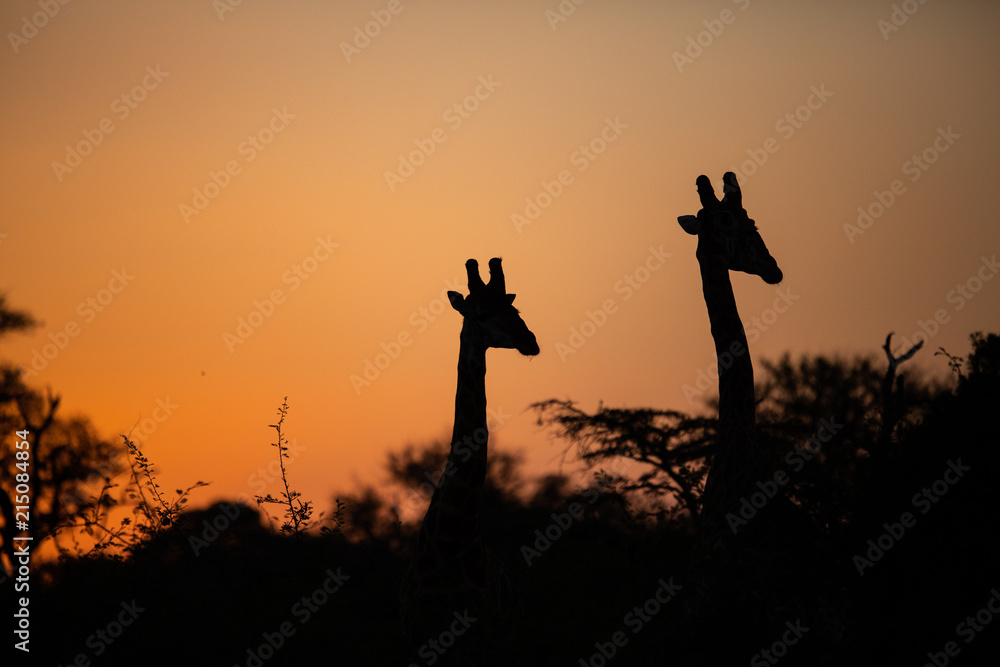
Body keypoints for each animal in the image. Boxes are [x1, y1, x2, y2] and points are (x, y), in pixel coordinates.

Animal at [400, 258, 540, 664]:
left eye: (513, 308)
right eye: (482, 313)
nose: (530, 341)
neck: (453, 536)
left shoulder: (481, 631)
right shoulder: (417, 631)